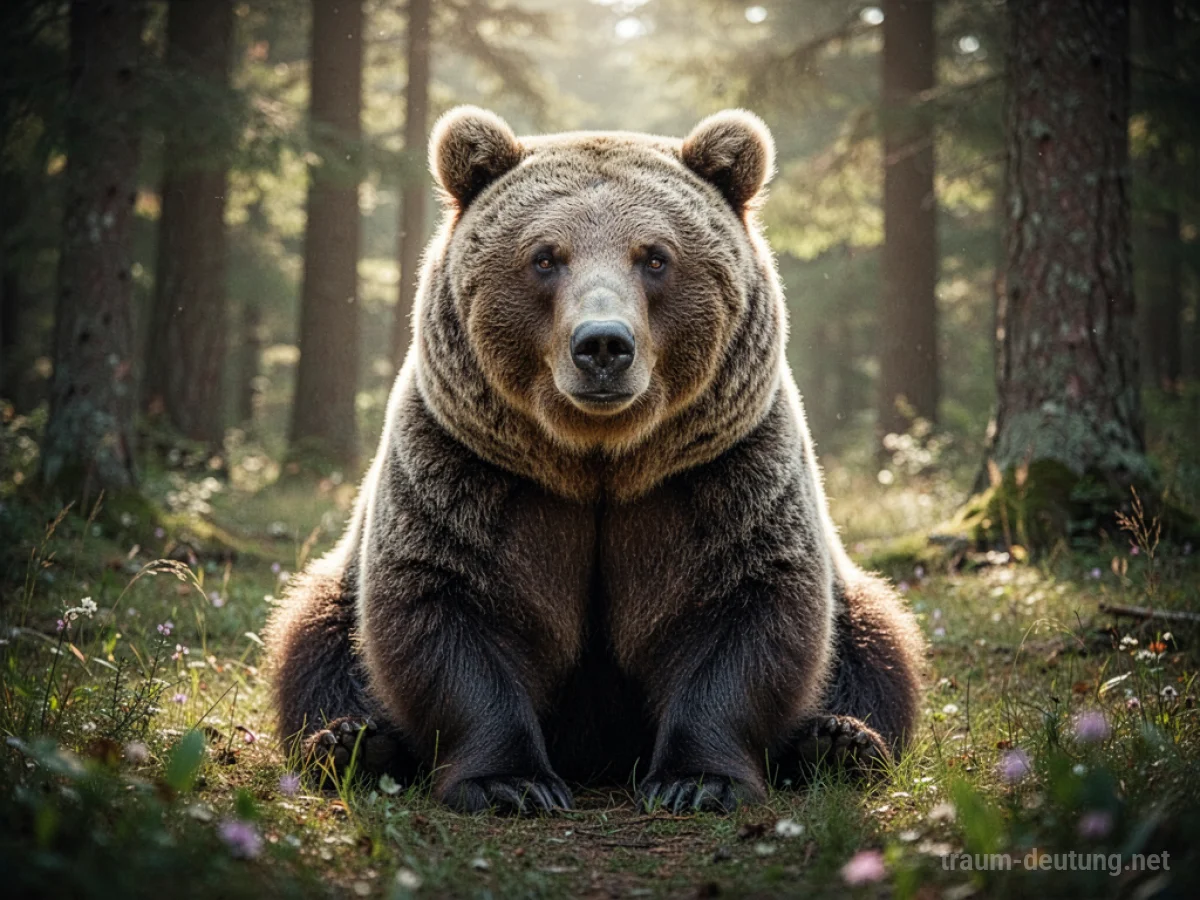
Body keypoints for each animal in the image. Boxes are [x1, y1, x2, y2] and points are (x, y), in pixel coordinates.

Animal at [265, 106, 925, 815]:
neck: (597, 461)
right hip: (338, 588)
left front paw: (698, 780)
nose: (603, 344)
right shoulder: (466, 470)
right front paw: (511, 782)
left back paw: (840, 741)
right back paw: (352, 743)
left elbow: (751, 612)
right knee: (313, 643)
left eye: (656, 257)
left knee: (878, 648)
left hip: (851, 597)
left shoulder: (725, 474)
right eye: (545, 256)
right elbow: (441, 609)